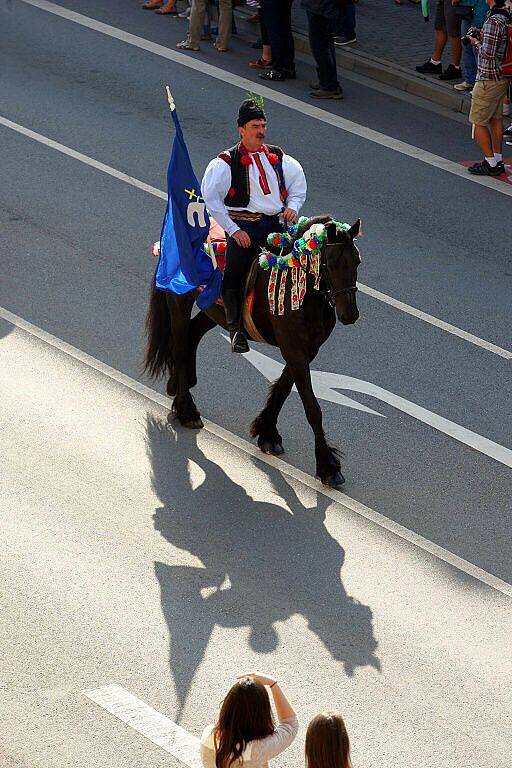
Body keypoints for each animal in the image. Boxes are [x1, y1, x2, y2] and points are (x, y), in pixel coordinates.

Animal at [144, 218, 360, 486]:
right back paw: (187, 410)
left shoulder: (307, 350)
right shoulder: (294, 350)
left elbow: (283, 388)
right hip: (179, 300)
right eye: (331, 264)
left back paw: (177, 387)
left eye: (357, 261)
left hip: (214, 310)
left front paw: (267, 433)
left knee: (193, 335)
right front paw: (328, 466)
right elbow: (312, 407)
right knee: (181, 347)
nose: (350, 314)